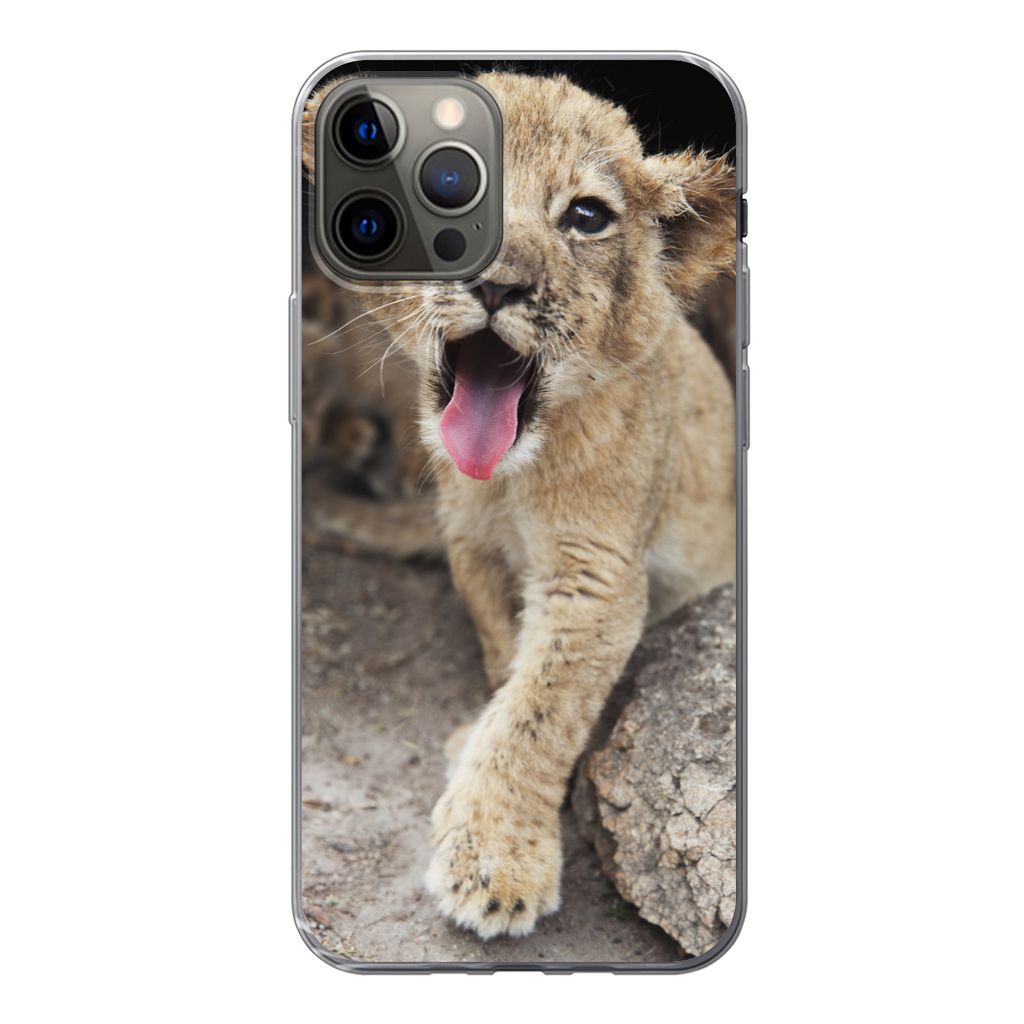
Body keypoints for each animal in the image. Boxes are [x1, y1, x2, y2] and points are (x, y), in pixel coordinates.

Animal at [302, 72, 736, 939]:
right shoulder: (473, 547)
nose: (499, 283)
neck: (508, 480)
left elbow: (541, 709)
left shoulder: (598, 577)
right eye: (442, 185)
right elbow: (507, 660)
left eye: (586, 216)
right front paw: (478, 753)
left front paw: (495, 860)